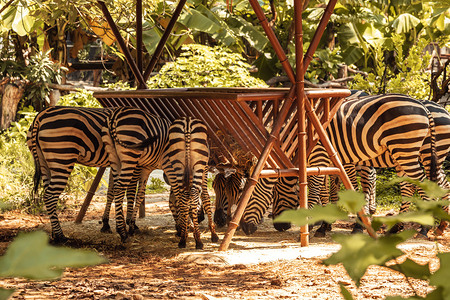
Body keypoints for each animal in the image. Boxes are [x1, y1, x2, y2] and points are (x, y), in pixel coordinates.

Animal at [161, 116, 219, 248]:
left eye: (172, 207)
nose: (177, 231)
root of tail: (187, 121)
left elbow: (186, 201)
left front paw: (186, 230)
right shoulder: (205, 170)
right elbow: (205, 197)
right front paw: (213, 234)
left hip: (177, 163)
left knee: (183, 195)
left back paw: (183, 239)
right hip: (199, 165)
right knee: (193, 194)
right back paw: (198, 241)